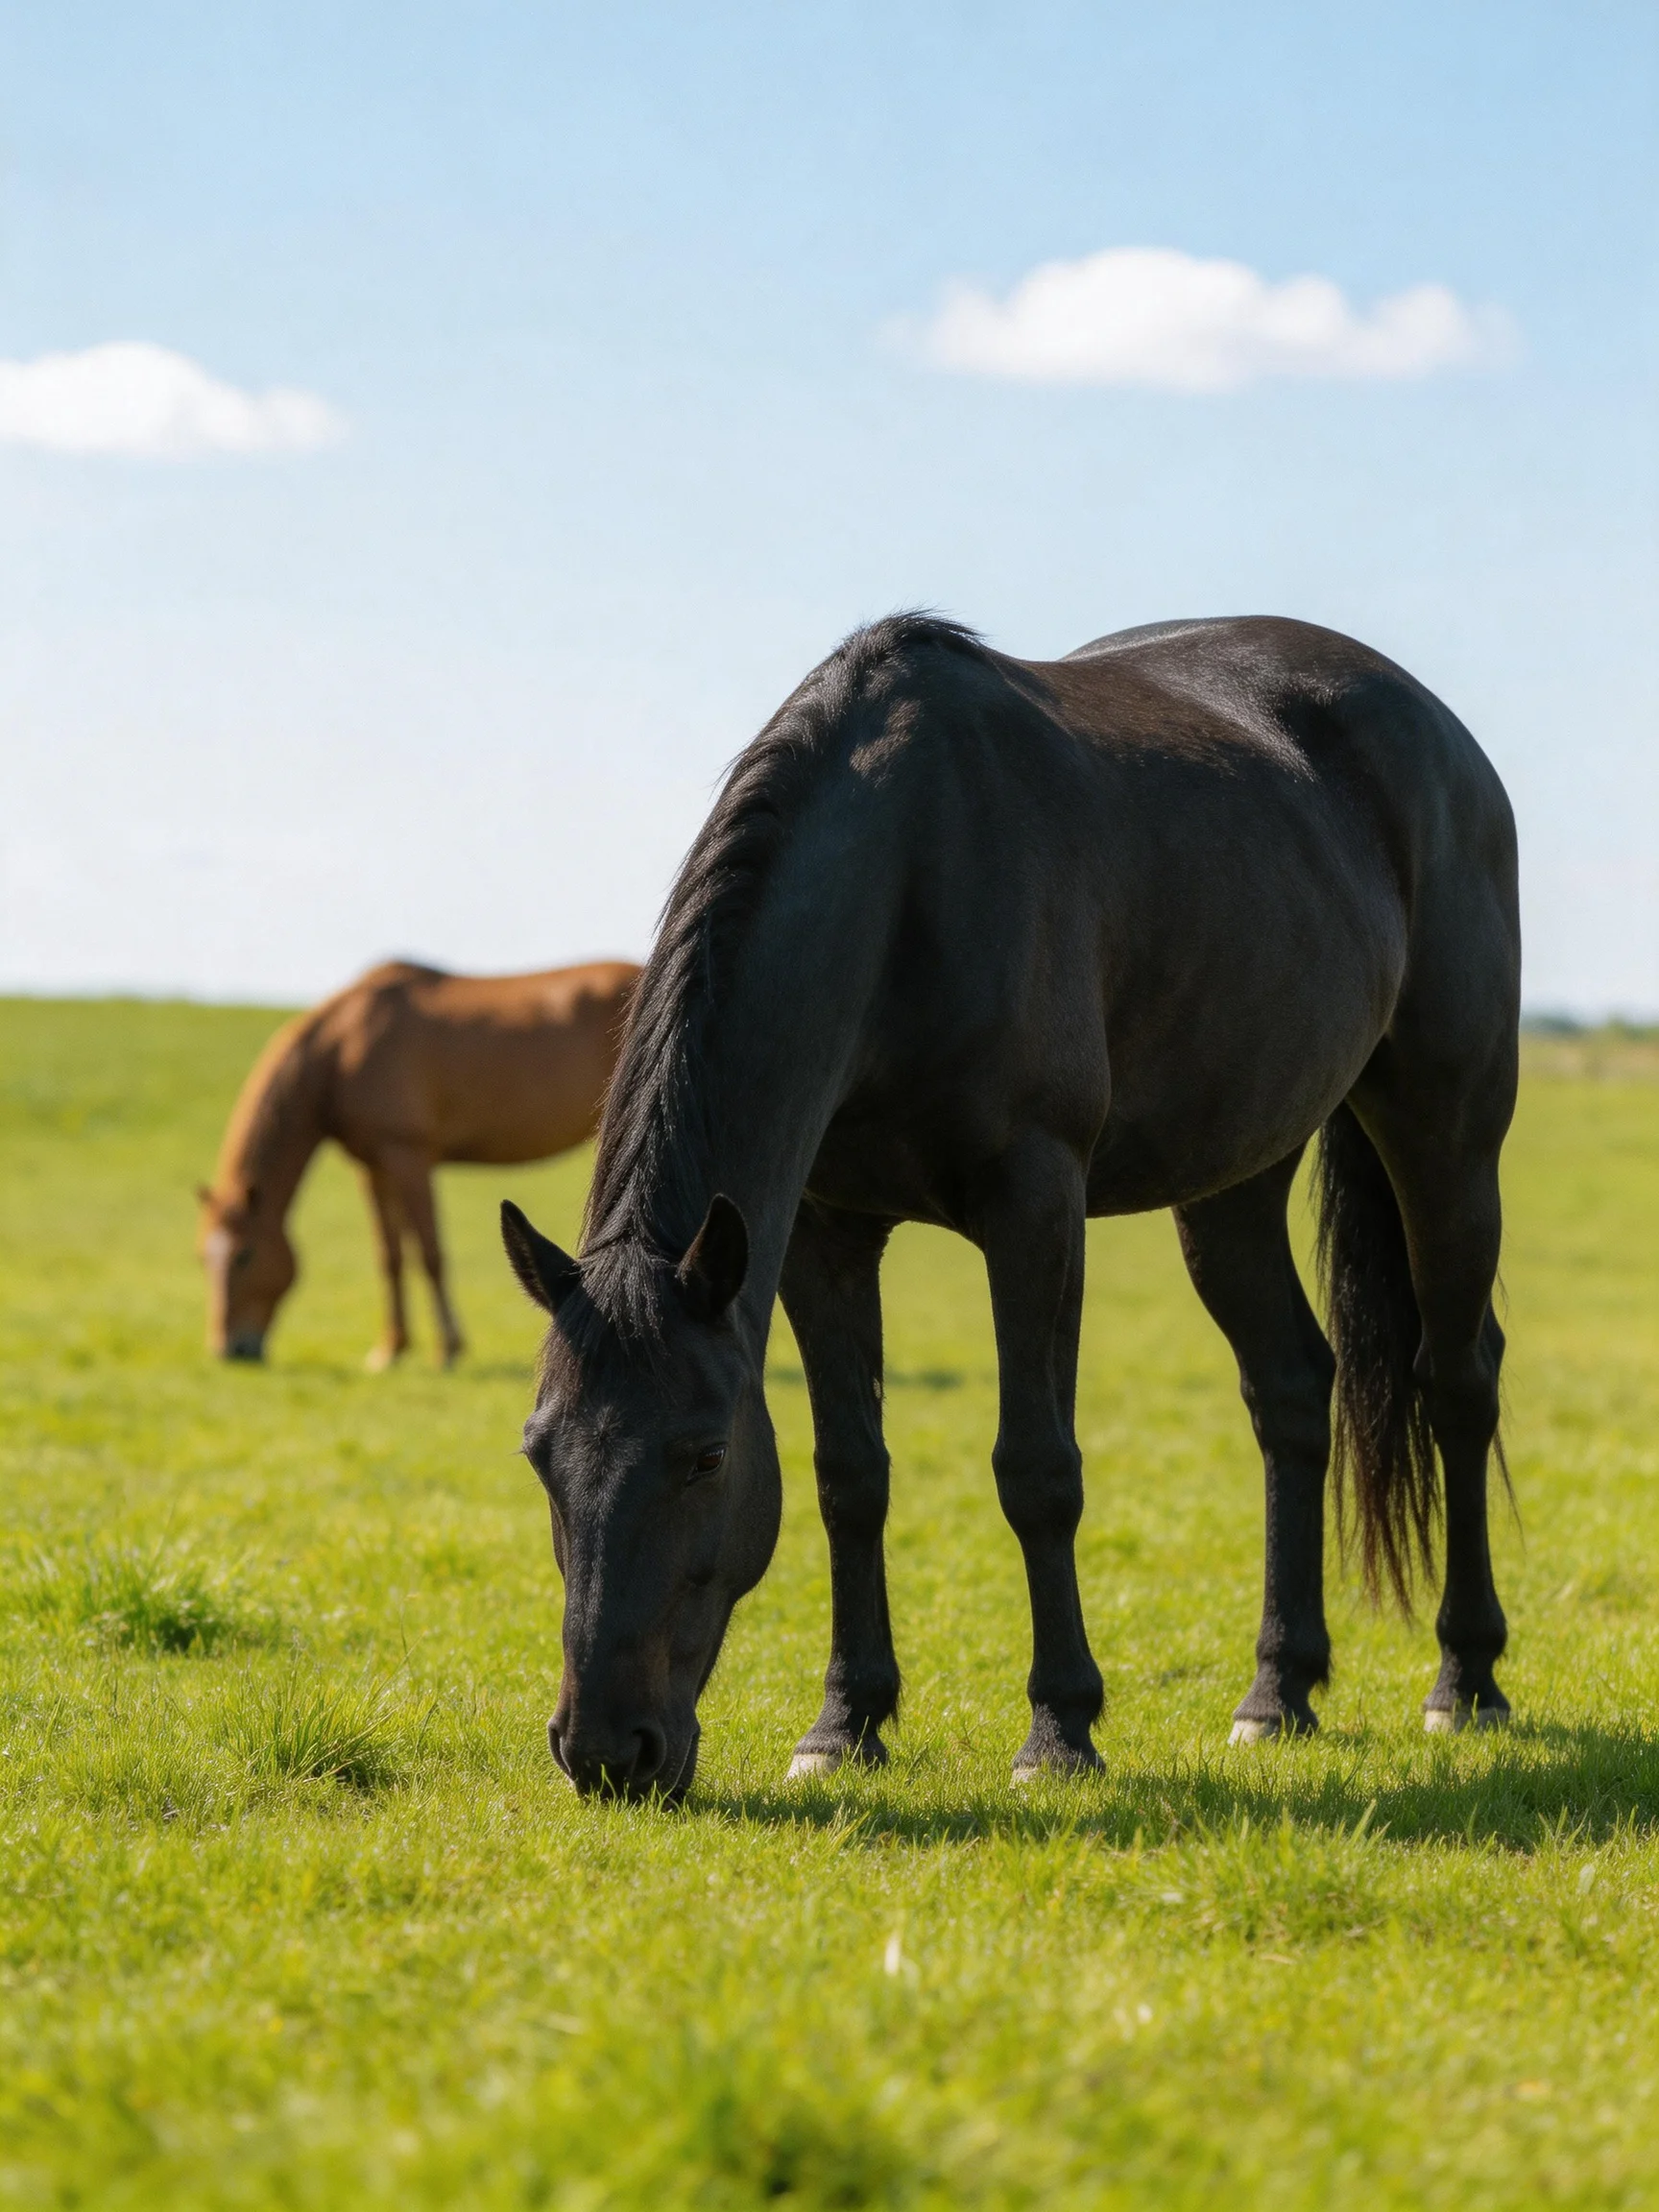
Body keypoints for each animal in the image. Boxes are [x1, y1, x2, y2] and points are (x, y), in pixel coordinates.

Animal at [198, 958, 638, 1366]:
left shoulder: (408, 1157)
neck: (344, 1046)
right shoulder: (373, 1168)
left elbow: (430, 1253)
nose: (230, 1349)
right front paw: (390, 1349)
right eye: (202, 1256)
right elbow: (390, 1256)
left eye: (244, 1255)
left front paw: (448, 1348)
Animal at [500, 615, 1520, 1802]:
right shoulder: (819, 1234)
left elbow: (1036, 1470)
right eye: (540, 1453)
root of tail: (1439, 731)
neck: (909, 876)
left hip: (1447, 1133)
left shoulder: (1034, 1206)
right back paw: (1278, 1692)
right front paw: (843, 1722)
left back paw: (1465, 1679)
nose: (605, 1751)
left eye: (705, 1455)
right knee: (1293, 1392)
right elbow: (851, 1474)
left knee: (1457, 1383)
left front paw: (1060, 1728)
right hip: (1230, 1183)